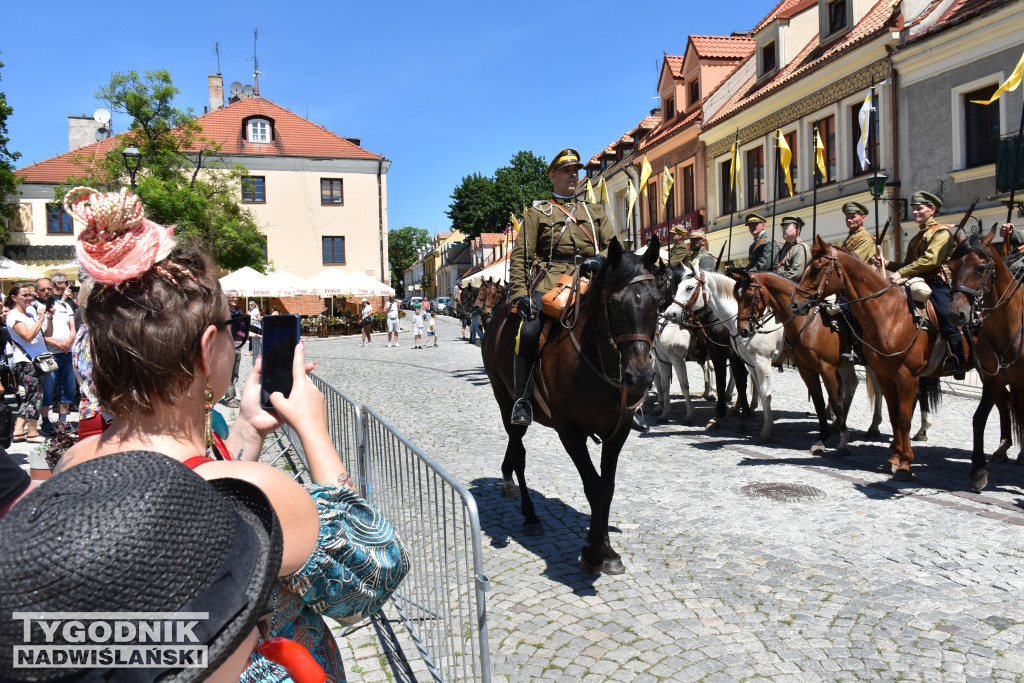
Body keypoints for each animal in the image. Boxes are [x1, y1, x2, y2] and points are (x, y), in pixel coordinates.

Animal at [481, 240, 659, 577]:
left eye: (656, 301)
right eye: (613, 303)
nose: (640, 377)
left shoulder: (619, 432)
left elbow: (607, 487)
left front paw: (607, 550)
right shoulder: (569, 431)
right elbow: (594, 487)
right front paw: (594, 552)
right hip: (503, 398)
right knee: (519, 451)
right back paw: (529, 515)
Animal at [663, 264, 782, 440]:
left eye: (689, 288)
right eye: (677, 287)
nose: (671, 314)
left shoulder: (735, 356)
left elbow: (740, 382)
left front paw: (742, 417)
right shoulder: (717, 354)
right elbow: (720, 381)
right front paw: (718, 416)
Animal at [733, 272, 860, 454]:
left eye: (750, 296)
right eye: (736, 296)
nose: (743, 330)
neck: (809, 324)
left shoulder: (827, 368)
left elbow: (836, 403)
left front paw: (843, 442)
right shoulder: (806, 369)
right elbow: (818, 402)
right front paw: (822, 439)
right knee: (852, 384)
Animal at [946, 228, 1019, 491]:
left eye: (980, 268)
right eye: (951, 266)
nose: (955, 314)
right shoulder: (992, 377)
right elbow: (979, 419)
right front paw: (978, 471)